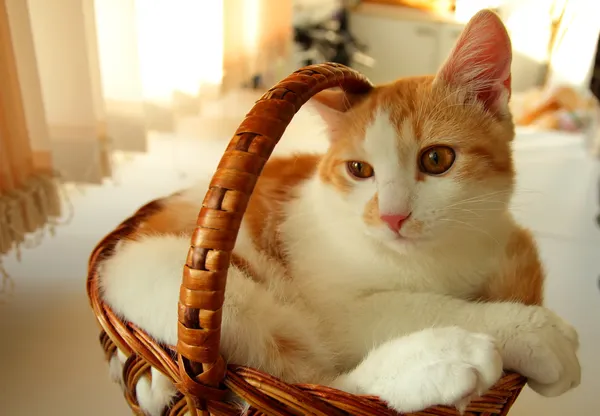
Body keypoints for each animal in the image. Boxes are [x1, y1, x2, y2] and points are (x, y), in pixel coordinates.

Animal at [99, 9, 580, 416]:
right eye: (359, 170)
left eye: (437, 159)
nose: (392, 216)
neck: (431, 260)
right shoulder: (333, 309)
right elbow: (421, 306)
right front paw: (533, 330)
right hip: (193, 287)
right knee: (308, 383)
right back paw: (438, 362)